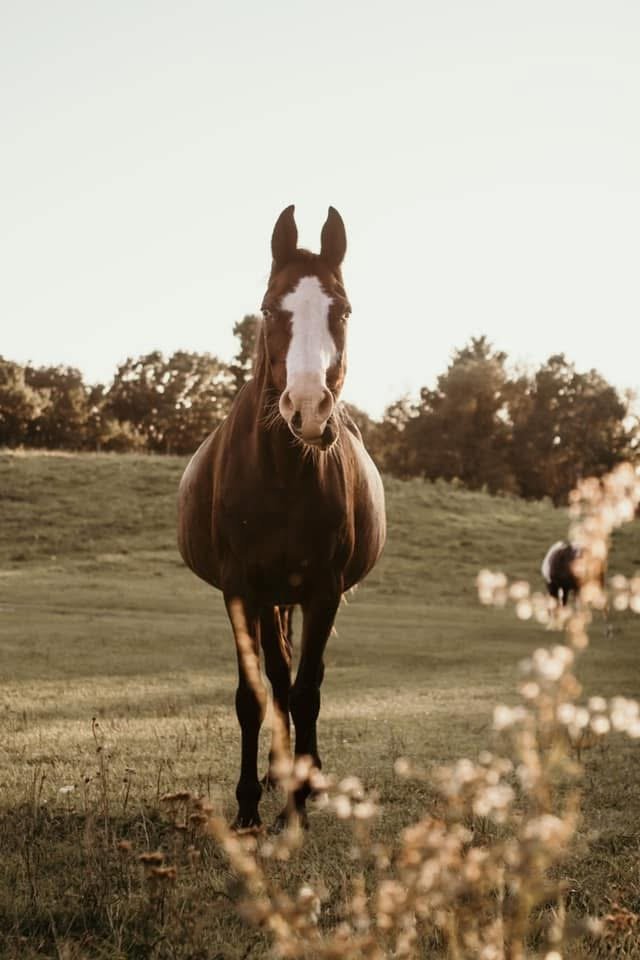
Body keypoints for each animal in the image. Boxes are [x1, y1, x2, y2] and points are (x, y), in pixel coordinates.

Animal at [177, 205, 386, 830]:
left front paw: (296, 809)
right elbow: (254, 694)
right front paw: (248, 805)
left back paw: (305, 777)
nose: (309, 409)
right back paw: (277, 774)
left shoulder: (323, 589)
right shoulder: (244, 588)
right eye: (271, 309)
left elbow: (306, 691)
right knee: (276, 675)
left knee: (299, 679)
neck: (285, 473)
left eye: (343, 310)